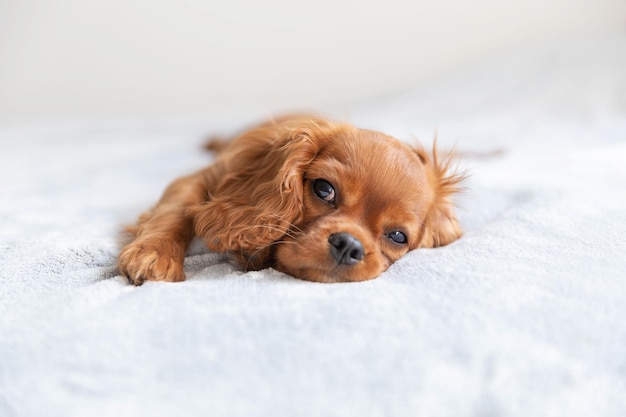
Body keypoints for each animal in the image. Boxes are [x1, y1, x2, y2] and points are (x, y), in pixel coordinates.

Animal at [117, 114, 460, 284]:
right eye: (324, 189)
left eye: (398, 236)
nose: (349, 245)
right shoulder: (198, 179)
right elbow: (174, 212)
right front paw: (155, 254)